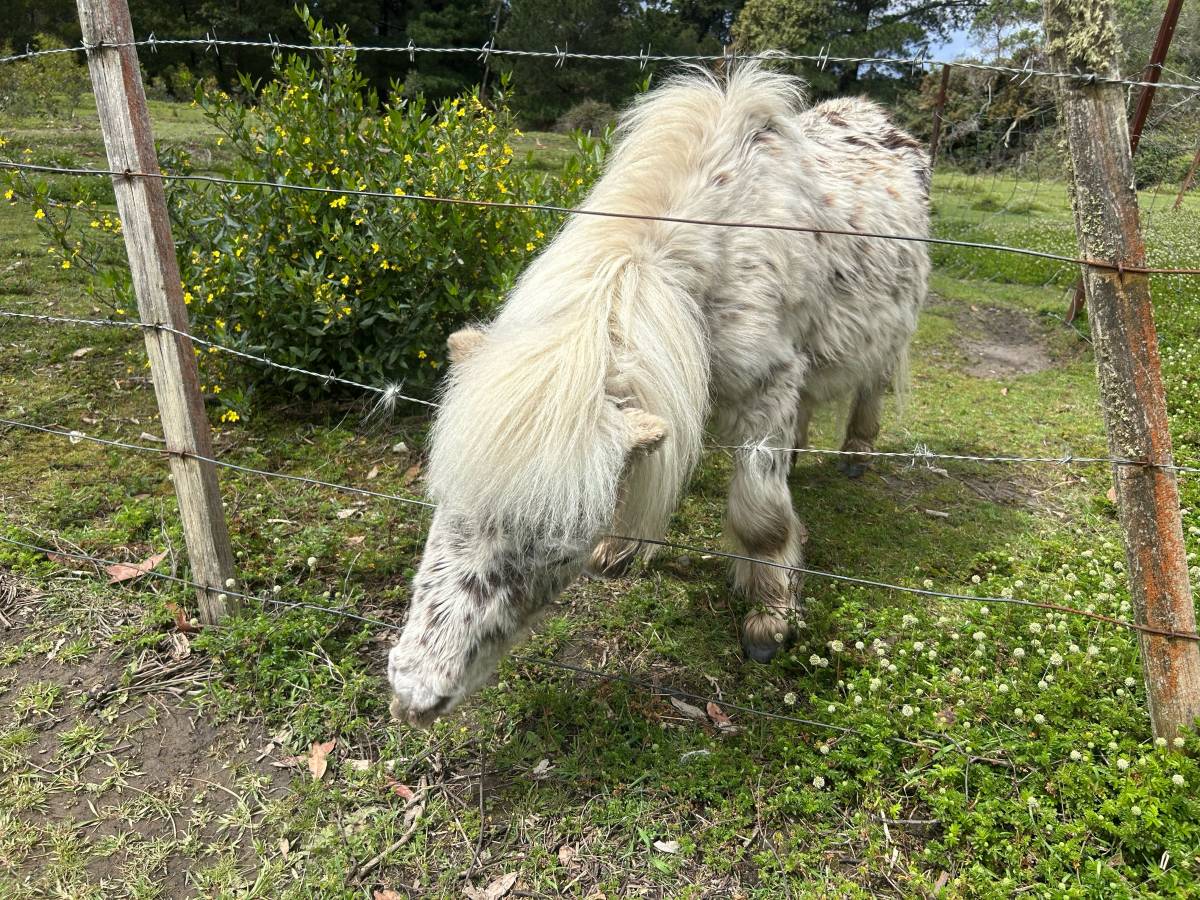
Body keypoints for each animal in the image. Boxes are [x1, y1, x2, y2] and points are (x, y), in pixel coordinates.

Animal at [387, 63, 930, 726]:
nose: (413, 695)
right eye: (442, 503)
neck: (710, 250)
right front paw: (620, 550)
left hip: (892, 333)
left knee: (872, 384)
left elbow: (760, 516)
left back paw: (855, 455)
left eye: (555, 547)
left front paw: (769, 622)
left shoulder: (767, 388)